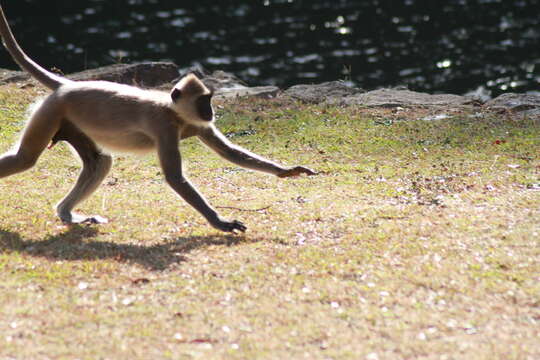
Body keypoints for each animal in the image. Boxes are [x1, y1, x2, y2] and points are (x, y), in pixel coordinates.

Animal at [0, 5, 316, 233]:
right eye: (204, 101)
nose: (210, 111)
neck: (173, 112)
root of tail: (68, 86)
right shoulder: (164, 127)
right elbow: (175, 177)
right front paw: (220, 223)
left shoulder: (197, 124)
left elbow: (229, 152)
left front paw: (288, 171)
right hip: (52, 111)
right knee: (25, 159)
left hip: (71, 122)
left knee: (99, 163)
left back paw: (67, 215)